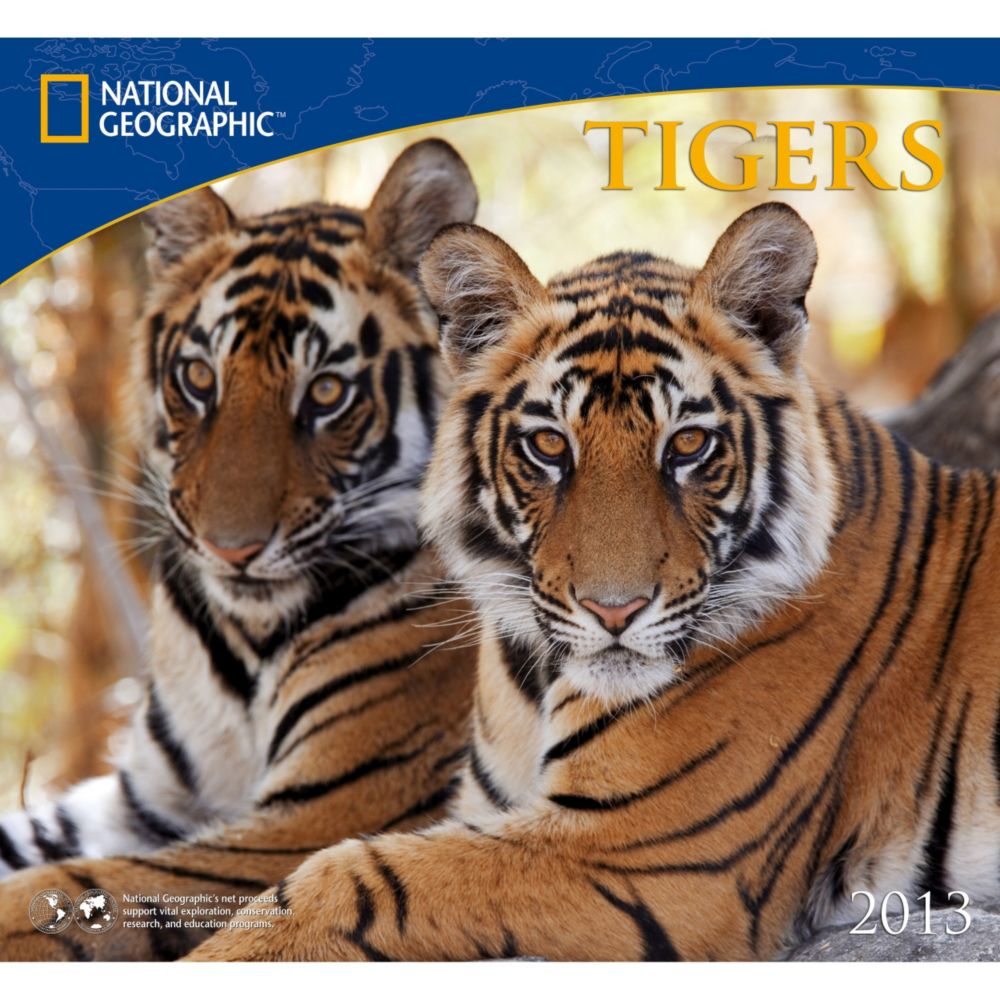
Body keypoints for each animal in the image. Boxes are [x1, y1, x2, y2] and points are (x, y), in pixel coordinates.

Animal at [0, 139, 479, 961]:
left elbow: (68, 889)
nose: (233, 550)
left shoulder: (320, 814)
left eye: (326, 394)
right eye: (199, 377)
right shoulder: (145, 799)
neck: (242, 641)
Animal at [184, 202, 1000, 962]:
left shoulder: (648, 854)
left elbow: (347, 876)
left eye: (689, 444)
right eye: (550, 446)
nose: (616, 611)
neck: (536, 678)